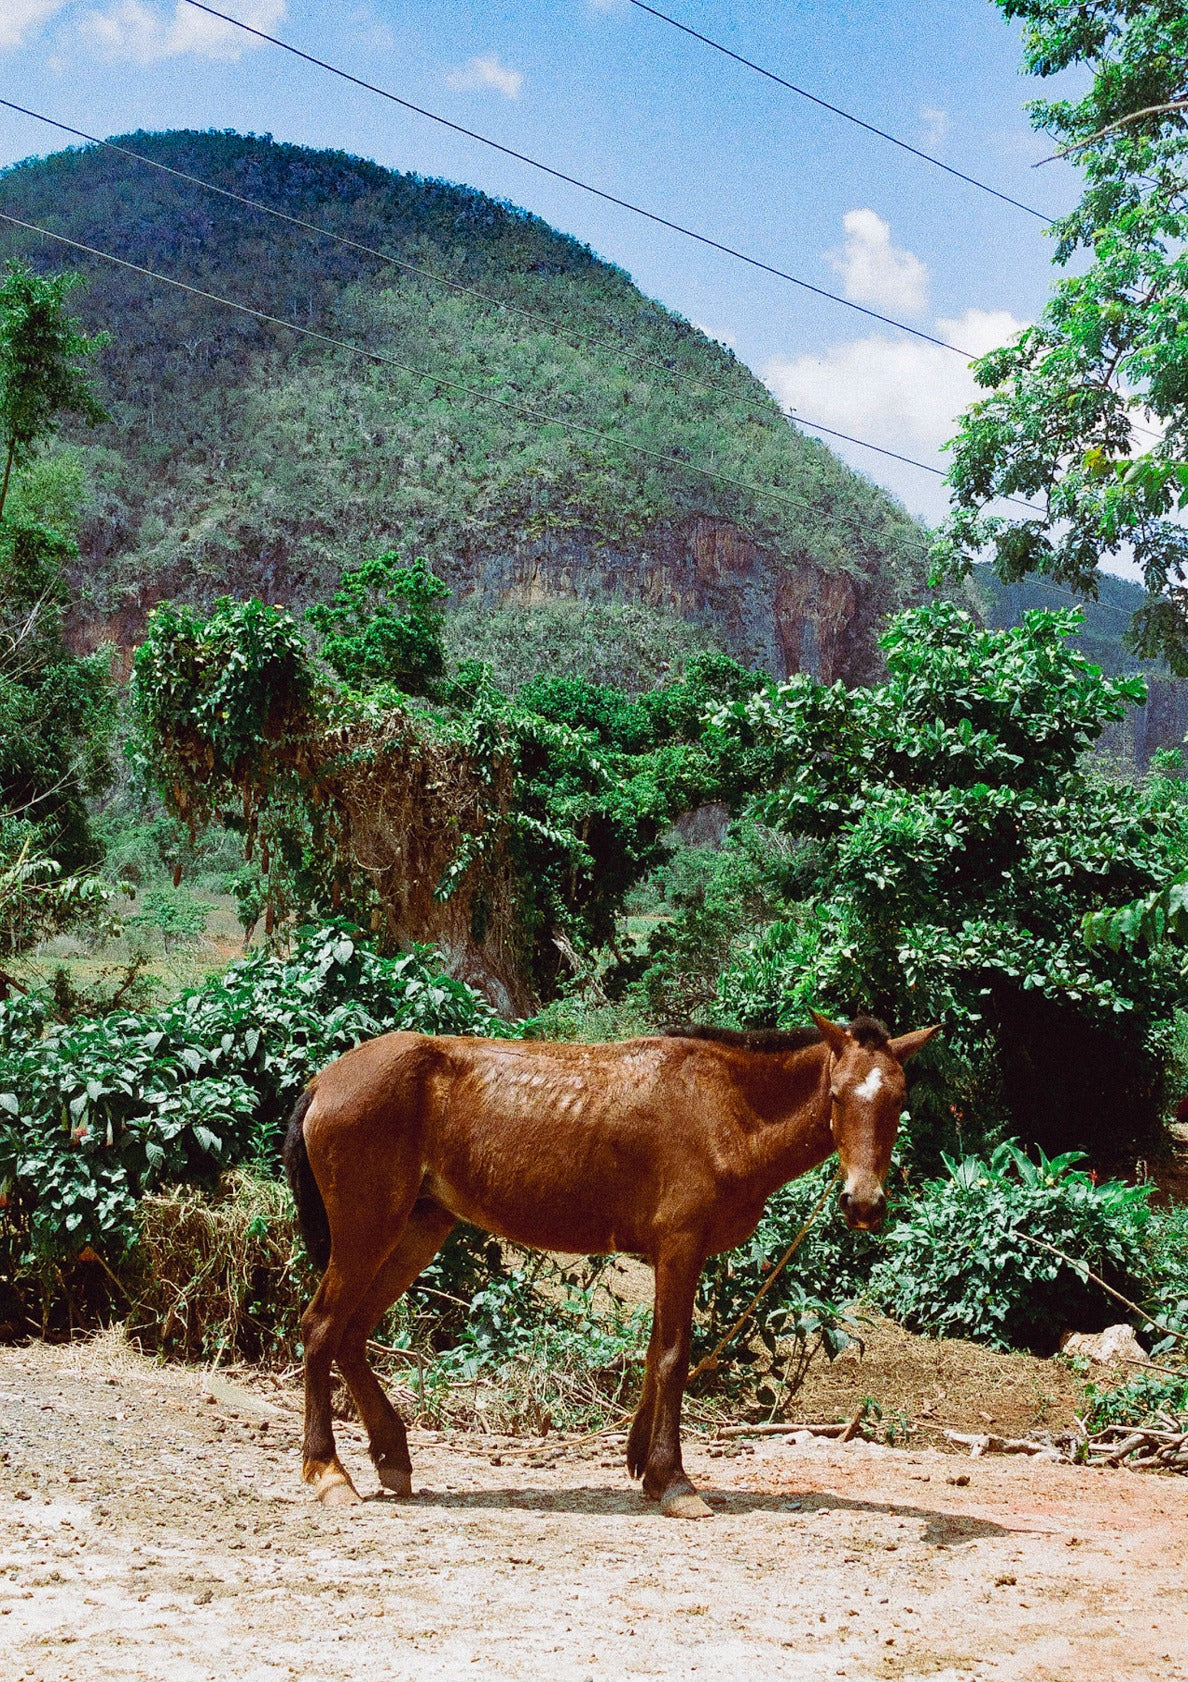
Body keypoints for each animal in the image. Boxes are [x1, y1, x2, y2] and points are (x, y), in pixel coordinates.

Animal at [283, 1010, 938, 1517]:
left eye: (899, 1100)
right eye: (837, 1096)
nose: (864, 1203)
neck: (723, 1107)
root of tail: (325, 1081)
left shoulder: (669, 1256)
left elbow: (653, 1353)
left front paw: (644, 1465)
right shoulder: (680, 1248)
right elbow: (674, 1357)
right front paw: (675, 1482)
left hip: (417, 1231)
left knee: (351, 1335)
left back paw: (392, 1457)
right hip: (368, 1232)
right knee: (320, 1328)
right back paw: (329, 1472)